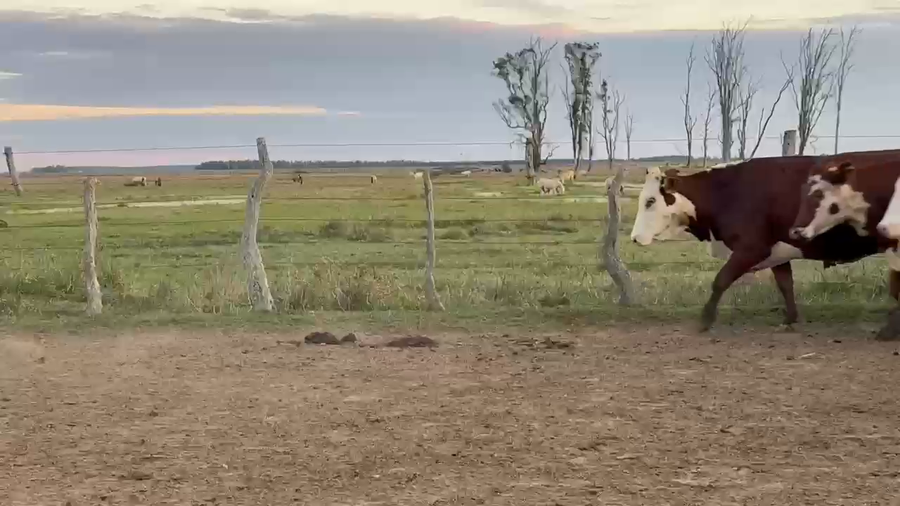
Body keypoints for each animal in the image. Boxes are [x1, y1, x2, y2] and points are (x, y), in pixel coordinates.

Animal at [630, 150, 900, 332]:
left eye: (650, 201)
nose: (634, 238)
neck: (728, 192)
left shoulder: (751, 249)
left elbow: (720, 281)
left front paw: (705, 320)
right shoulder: (777, 253)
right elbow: (785, 285)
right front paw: (790, 318)